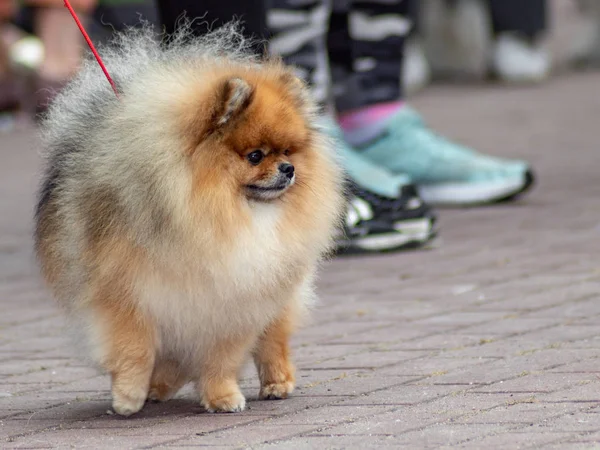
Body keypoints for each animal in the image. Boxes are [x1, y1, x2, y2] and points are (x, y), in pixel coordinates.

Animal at [35, 25, 344, 414]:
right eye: (255, 156)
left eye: (288, 151)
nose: (289, 169)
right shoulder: (125, 292)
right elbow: (134, 347)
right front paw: (129, 395)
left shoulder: (233, 302)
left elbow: (221, 358)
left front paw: (222, 396)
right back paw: (158, 387)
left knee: (273, 339)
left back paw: (276, 383)